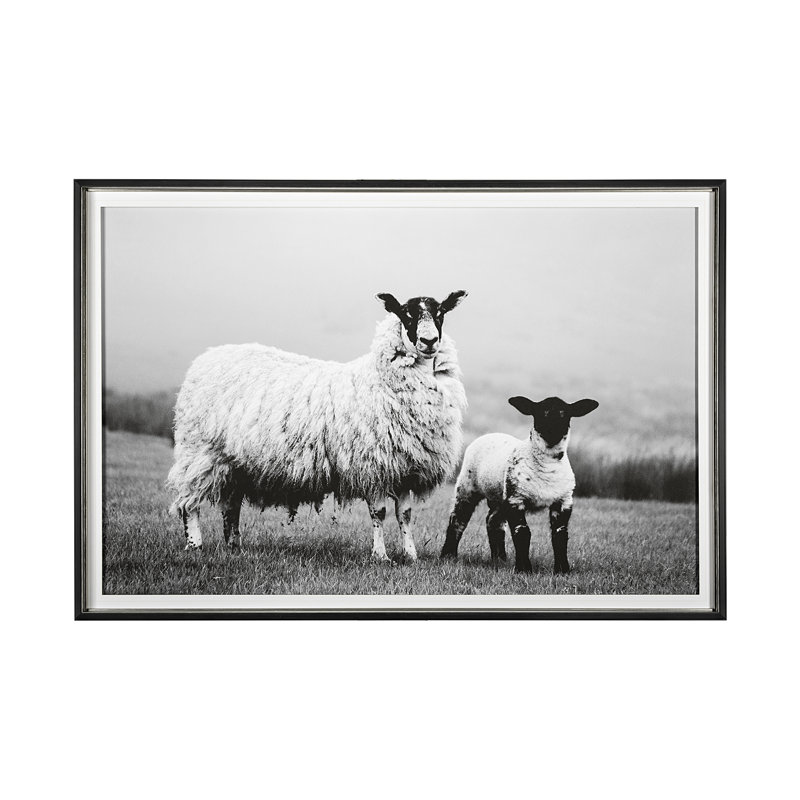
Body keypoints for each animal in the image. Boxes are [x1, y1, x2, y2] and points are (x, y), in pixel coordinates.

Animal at [166, 290, 468, 560]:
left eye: (440, 312)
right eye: (406, 313)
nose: (429, 341)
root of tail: (205, 358)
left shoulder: (405, 467)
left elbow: (404, 515)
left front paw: (410, 555)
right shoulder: (373, 465)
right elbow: (379, 514)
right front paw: (381, 556)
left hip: (235, 462)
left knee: (231, 506)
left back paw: (234, 546)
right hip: (200, 451)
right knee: (189, 502)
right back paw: (195, 545)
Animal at [440, 395, 598, 573]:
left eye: (565, 413)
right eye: (540, 412)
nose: (553, 430)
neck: (546, 465)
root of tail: (491, 434)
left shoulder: (563, 501)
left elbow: (560, 534)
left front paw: (562, 570)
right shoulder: (516, 499)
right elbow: (522, 532)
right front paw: (524, 568)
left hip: (500, 497)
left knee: (493, 521)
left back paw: (499, 558)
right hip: (467, 487)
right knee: (458, 520)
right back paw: (448, 556)